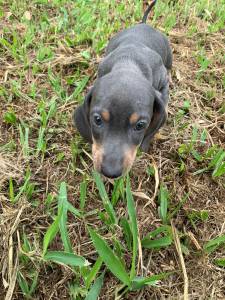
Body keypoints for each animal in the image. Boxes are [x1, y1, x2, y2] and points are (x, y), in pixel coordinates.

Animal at [74, 0, 172, 178]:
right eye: (97, 119)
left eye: (140, 125)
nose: (110, 172)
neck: (128, 62)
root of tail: (144, 24)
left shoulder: (163, 85)